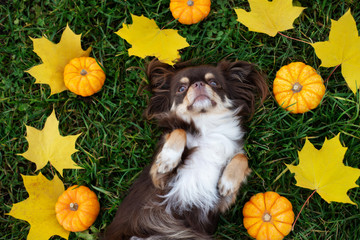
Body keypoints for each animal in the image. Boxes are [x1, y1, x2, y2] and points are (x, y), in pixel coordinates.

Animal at [102, 59, 268, 239]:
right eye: (181, 88)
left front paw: (228, 182)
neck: (207, 126)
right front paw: (168, 159)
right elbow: (179, 131)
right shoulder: (159, 179)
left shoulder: (220, 203)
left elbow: (242, 157)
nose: (198, 83)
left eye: (214, 82)